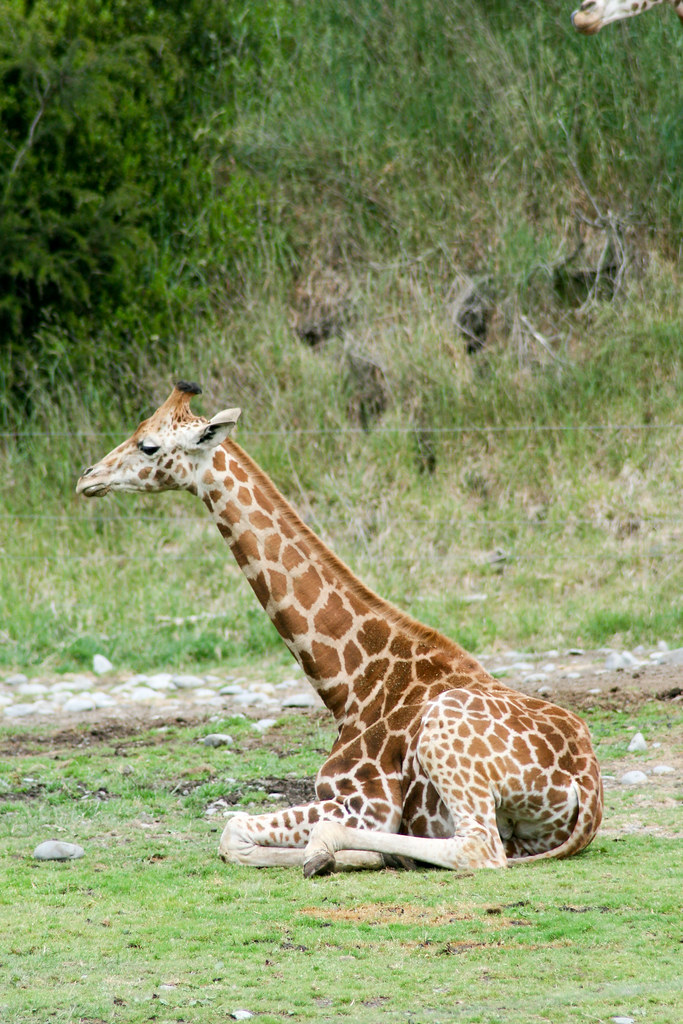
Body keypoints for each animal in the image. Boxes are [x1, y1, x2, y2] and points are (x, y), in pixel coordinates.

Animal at [77, 381, 603, 875]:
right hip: (522, 835)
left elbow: (233, 829)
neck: (349, 684)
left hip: (447, 743)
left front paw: (330, 855)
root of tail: (588, 787)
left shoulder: (366, 803)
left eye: (148, 445)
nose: (88, 478)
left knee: (477, 848)